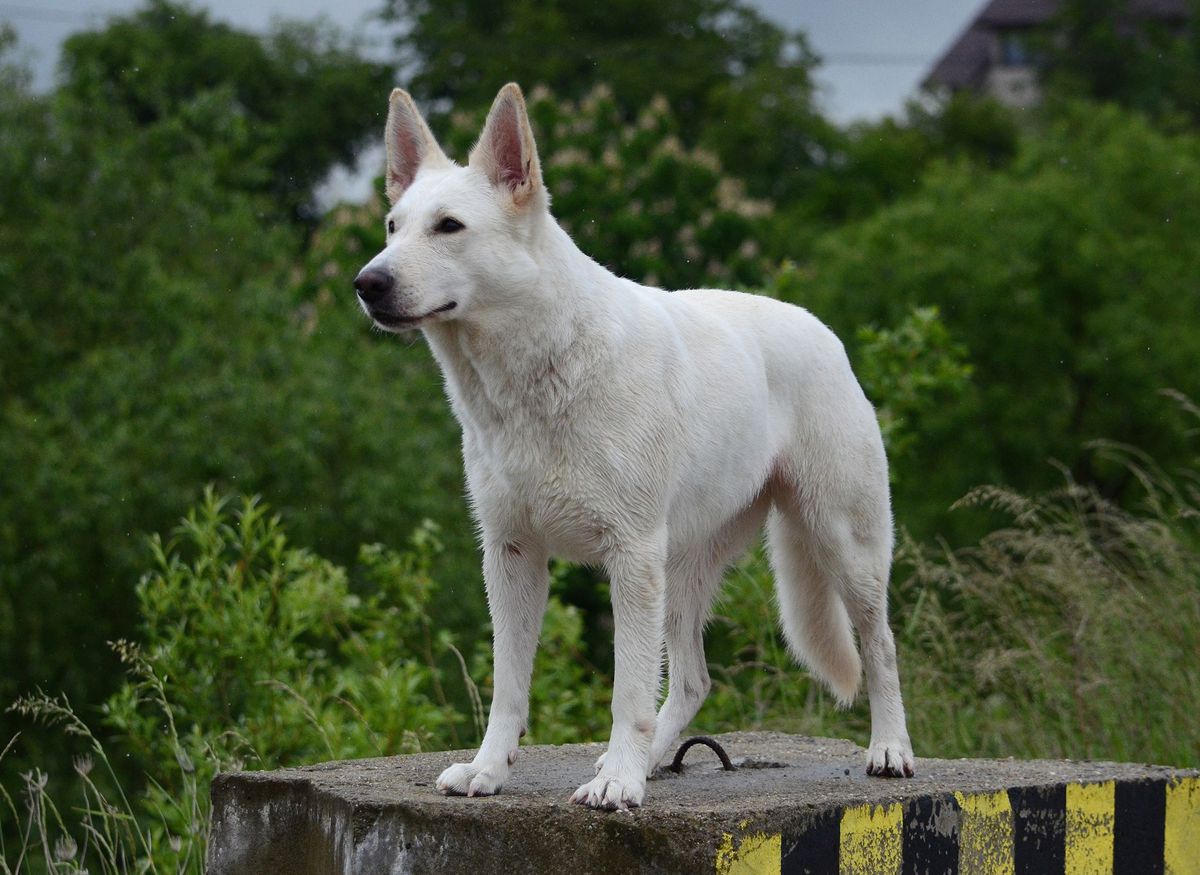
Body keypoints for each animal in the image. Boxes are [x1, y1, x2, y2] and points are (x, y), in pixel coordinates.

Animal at [350, 85, 912, 806]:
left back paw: (890, 750)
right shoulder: (510, 555)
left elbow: (627, 689)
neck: (530, 383)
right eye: (393, 226)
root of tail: (824, 332)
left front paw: (618, 782)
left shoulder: (630, 556)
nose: (367, 283)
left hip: (843, 545)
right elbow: (509, 687)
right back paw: (653, 756)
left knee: (880, 645)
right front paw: (488, 770)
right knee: (695, 679)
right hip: (684, 568)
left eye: (449, 227)